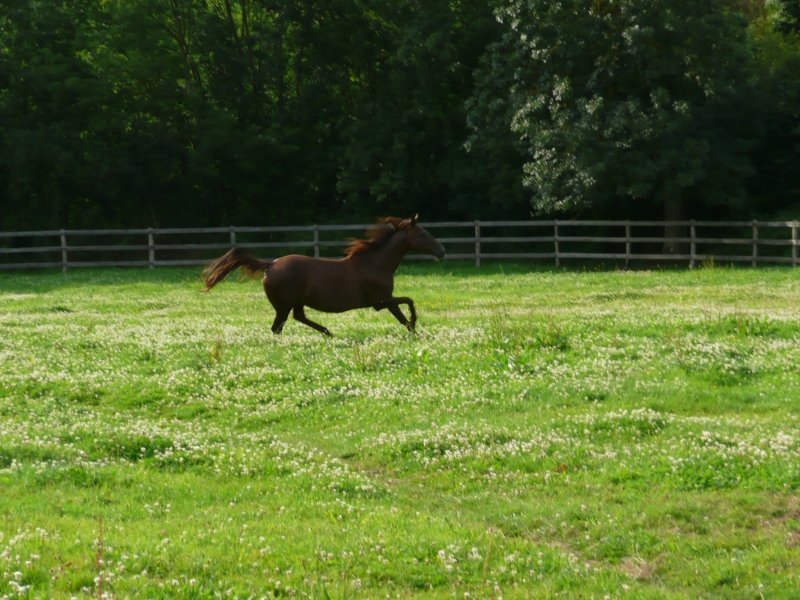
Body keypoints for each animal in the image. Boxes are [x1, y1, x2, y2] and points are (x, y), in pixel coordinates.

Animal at [202, 215, 445, 336]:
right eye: (423, 233)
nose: (442, 251)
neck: (375, 264)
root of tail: (271, 264)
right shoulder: (380, 301)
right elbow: (408, 304)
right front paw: (415, 326)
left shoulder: (384, 301)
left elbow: (404, 311)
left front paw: (414, 330)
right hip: (284, 304)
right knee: (277, 327)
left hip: (295, 302)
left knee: (297, 318)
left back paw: (328, 332)